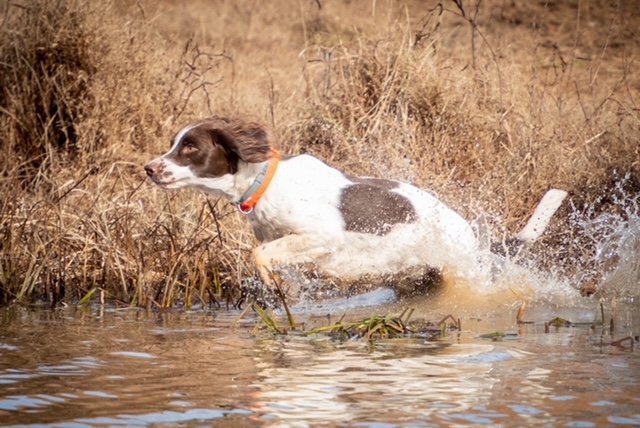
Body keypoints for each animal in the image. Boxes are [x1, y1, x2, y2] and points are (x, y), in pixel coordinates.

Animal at [145, 115, 564, 300]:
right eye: (174, 143)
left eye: (190, 147)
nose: (148, 168)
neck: (265, 182)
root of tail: (473, 237)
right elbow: (269, 253)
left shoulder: (321, 235)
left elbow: (259, 254)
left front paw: (272, 283)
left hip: (459, 275)